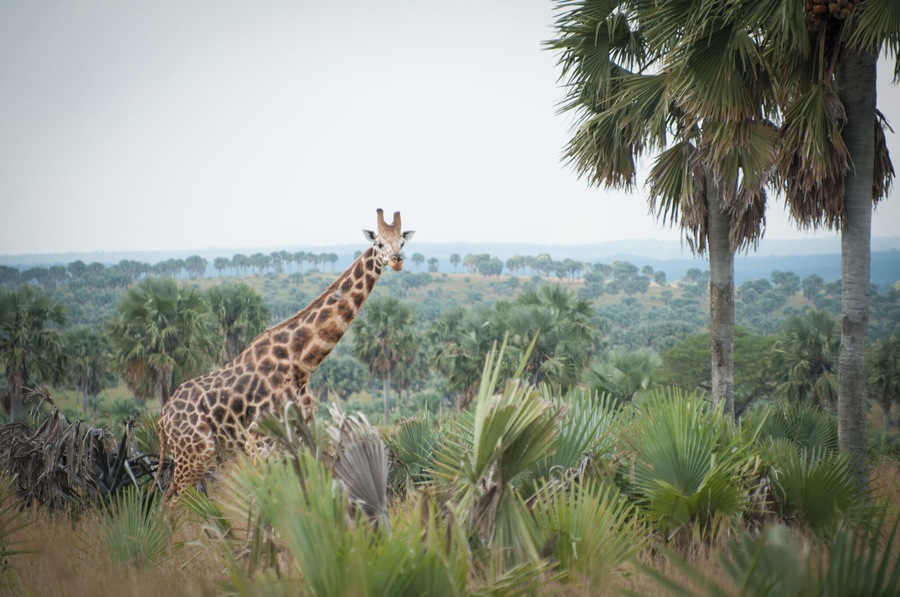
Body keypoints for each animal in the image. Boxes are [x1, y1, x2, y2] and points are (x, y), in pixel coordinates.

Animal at [155, 209, 414, 501]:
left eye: (402, 243)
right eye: (378, 243)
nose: (397, 261)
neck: (300, 361)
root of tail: (162, 419)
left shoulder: (304, 430)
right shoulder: (261, 441)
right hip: (195, 454)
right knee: (171, 503)